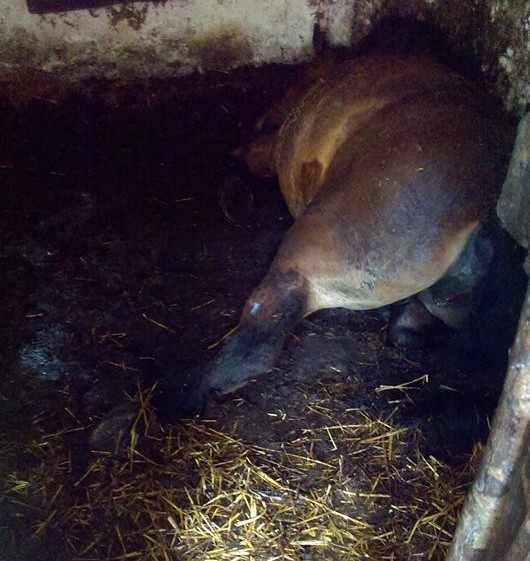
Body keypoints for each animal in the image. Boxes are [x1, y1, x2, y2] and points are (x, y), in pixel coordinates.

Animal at [160, 54, 512, 416]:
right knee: (407, 330)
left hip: (321, 246)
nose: (258, 121)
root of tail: (485, 217)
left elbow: (245, 156)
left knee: (260, 337)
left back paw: (181, 395)